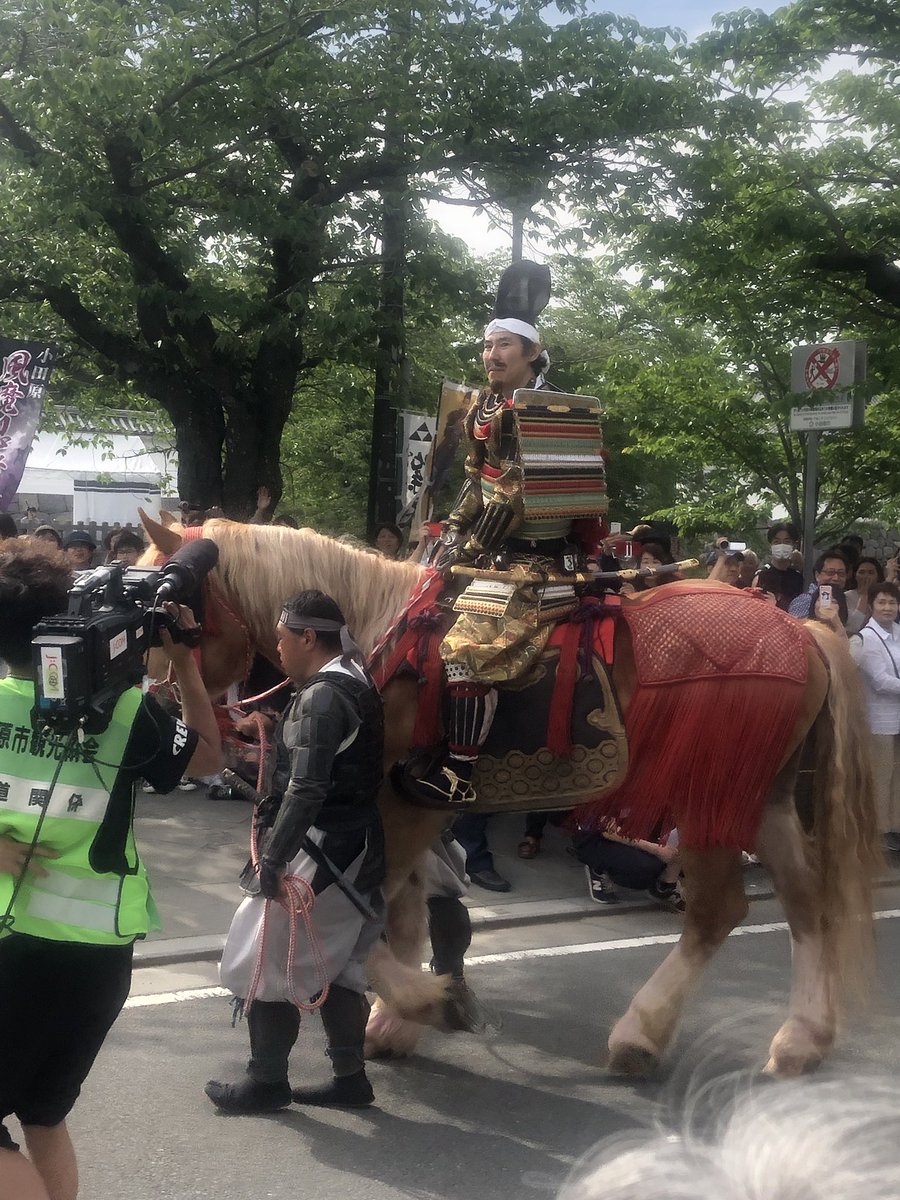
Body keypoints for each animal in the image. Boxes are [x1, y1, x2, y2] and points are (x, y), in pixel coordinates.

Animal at [139, 511, 883, 1084]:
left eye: (168, 608)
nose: (164, 709)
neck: (376, 637)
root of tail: (799, 631)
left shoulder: (404, 806)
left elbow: (368, 911)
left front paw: (424, 1003)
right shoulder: (404, 813)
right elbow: (402, 910)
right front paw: (399, 1015)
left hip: (711, 795)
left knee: (717, 910)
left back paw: (641, 1034)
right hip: (764, 797)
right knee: (805, 899)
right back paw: (803, 1038)